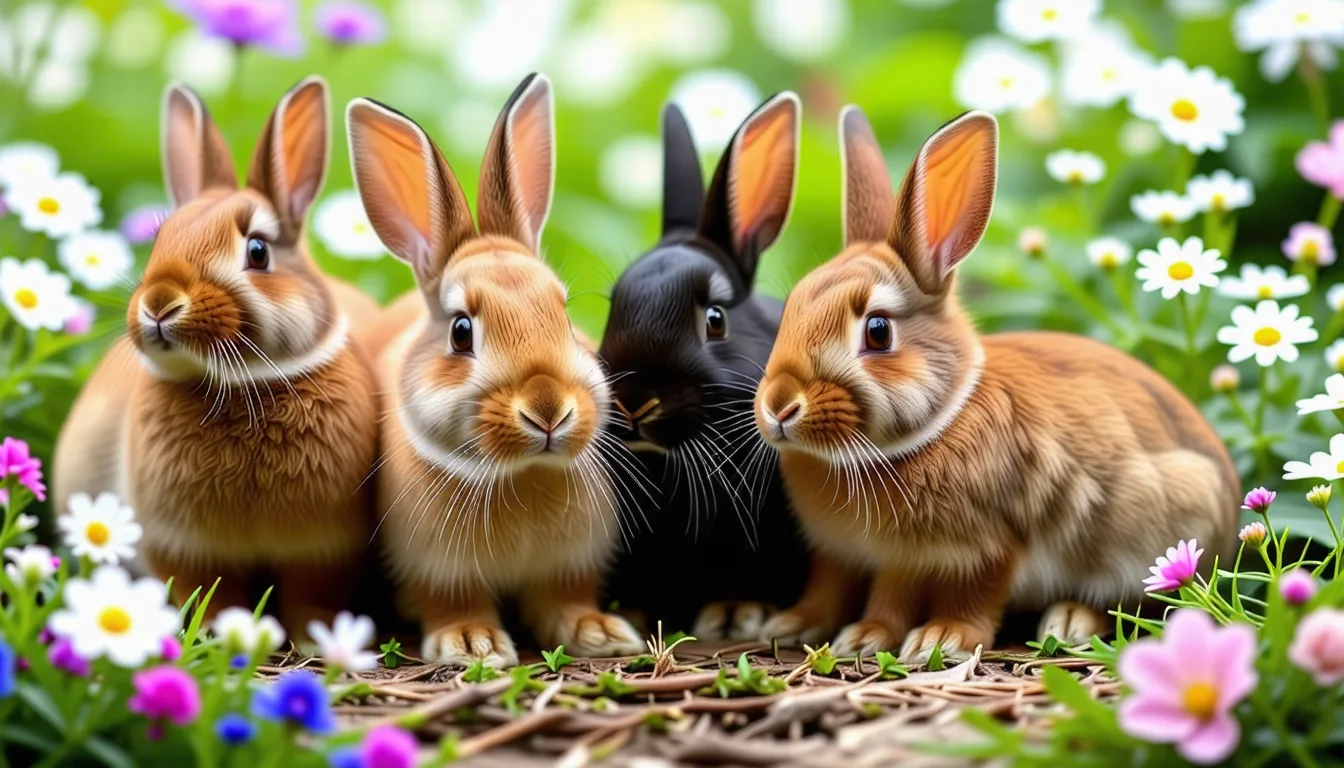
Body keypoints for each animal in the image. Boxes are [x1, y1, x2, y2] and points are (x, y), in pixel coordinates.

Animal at [52, 76, 382, 637]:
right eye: (159, 239)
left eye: (258, 251)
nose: (159, 303)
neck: (241, 384)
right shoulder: (183, 546)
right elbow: (207, 589)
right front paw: (215, 631)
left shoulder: (321, 548)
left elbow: (309, 593)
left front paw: (312, 633)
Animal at [347, 73, 644, 667]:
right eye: (461, 331)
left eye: (564, 314)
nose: (548, 409)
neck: (523, 473)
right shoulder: (437, 570)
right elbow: (453, 604)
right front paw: (472, 646)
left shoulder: (569, 566)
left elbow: (566, 600)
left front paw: (599, 633)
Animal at [752, 107, 1239, 662]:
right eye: (789, 309)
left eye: (877, 332)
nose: (779, 406)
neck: (937, 424)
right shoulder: (841, 554)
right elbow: (831, 589)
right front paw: (796, 624)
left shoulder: (979, 548)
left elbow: (948, 596)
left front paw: (928, 639)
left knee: (1144, 604)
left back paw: (1069, 620)